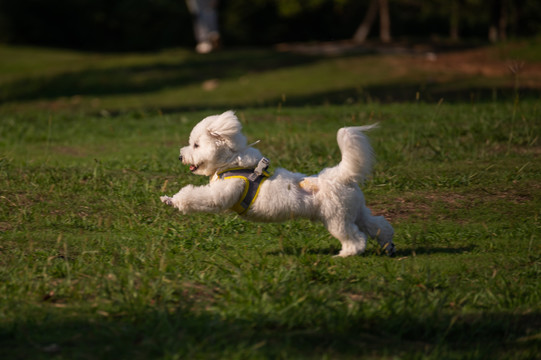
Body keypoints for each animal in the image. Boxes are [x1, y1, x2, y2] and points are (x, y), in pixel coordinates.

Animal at [158, 111, 394, 258]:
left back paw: (346, 254)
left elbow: (196, 197)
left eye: (196, 145)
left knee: (356, 237)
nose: (180, 157)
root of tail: (340, 176)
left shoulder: (221, 194)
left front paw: (173, 200)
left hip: (337, 218)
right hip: (356, 211)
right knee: (379, 226)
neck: (231, 163)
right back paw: (389, 246)